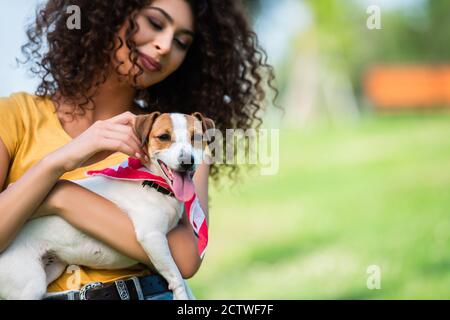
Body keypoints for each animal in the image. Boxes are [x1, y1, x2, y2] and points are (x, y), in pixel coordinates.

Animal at [0, 112, 215, 300]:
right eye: (164, 137)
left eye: (196, 137)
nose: (187, 161)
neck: (153, 184)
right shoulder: (151, 236)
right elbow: (176, 275)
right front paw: (181, 295)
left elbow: (176, 273)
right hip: (29, 283)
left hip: (52, 267)